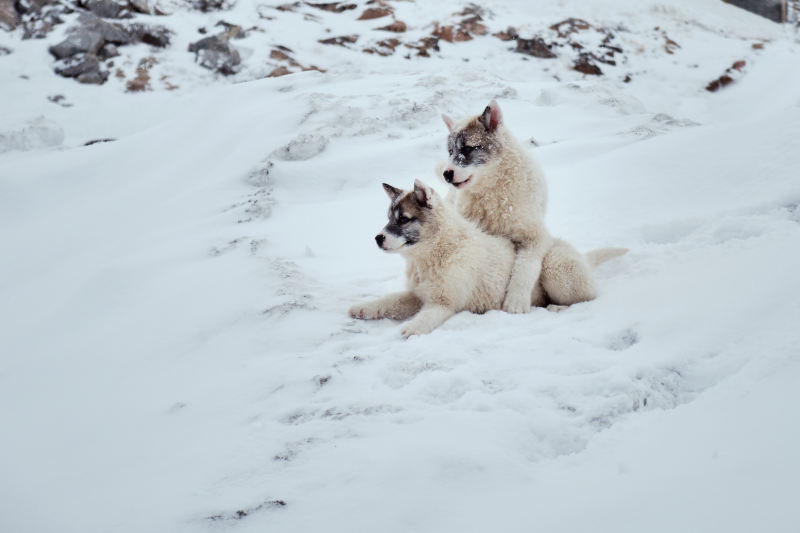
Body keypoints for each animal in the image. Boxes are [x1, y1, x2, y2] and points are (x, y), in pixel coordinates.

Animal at [346, 181, 516, 334]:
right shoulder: (417, 295)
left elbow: (426, 317)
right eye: (389, 218)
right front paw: (365, 308)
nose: (378, 238)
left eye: (403, 219)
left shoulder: (442, 303)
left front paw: (412, 327)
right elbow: (391, 299)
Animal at [440, 98, 628, 312]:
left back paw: (557, 308)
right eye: (450, 152)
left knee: (585, 296)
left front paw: (516, 301)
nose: (446, 174)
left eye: (468, 148)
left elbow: (525, 269)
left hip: (557, 266)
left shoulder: (536, 237)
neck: (491, 193)